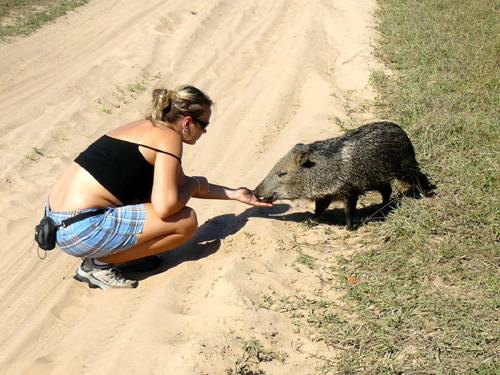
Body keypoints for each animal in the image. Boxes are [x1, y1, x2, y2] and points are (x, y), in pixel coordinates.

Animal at [254, 122, 434, 231]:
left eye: (282, 173)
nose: (255, 192)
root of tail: (403, 132)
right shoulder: (326, 194)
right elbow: (319, 210)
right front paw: (310, 223)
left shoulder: (349, 191)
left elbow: (349, 211)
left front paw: (349, 228)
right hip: (377, 178)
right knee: (387, 189)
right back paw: (381, 209)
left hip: (404, 167)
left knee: (418, 176)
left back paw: (428, 194)